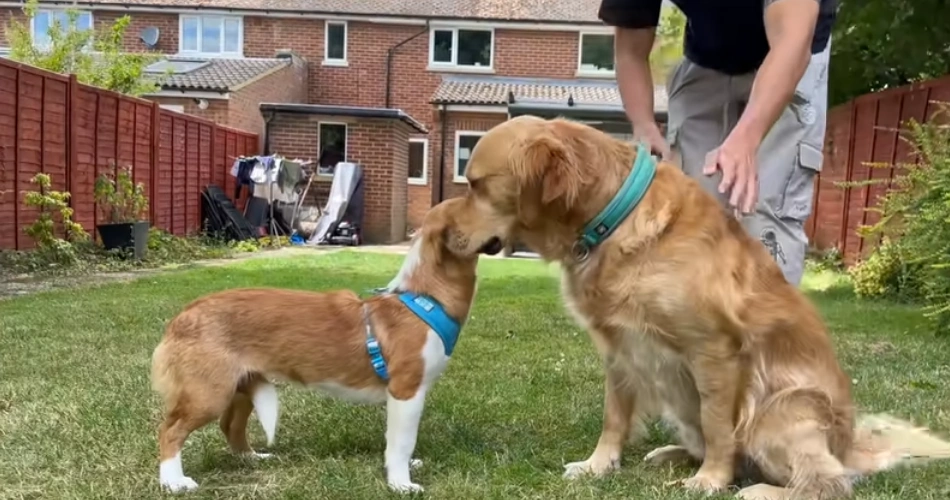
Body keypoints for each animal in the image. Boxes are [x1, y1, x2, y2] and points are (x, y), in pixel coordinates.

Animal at [150, 197, 506, 494]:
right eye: (480, 206)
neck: (426, 298)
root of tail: (183, 316)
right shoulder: (406, 392)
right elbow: (402, 442)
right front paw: (401, 483)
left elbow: (395, 443)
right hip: (209, 393)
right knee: (170, 431)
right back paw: (174, 482)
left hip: (240, 386)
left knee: (230, 426)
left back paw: (251, 458)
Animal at [448, 116, 950, 500]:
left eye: (476, 184)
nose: (444, 233)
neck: (613, 221)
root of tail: (850, 449)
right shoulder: (619, 349)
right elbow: (614, 416)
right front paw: (598, 465)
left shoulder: (714, 350)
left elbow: (718, 426)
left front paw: (710, 480)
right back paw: (670, 456)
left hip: (782, 411)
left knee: (829, 482)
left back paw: (758, 489)